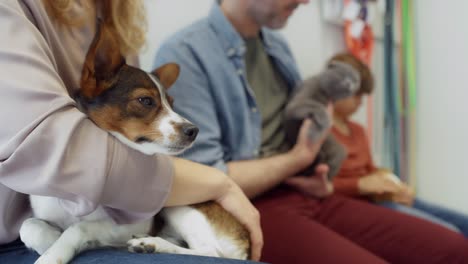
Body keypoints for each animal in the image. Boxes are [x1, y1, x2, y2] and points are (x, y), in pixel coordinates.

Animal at [18, 22, 252, 264]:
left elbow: (79, 227)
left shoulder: (129, 225)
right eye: (145, 101)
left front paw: (53, 253)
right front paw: (50, 240)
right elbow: (29, 226)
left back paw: (151, 244)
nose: (194, 130)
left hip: (180, 206)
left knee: (209, 252)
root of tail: (244, 241)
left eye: (172, 103)